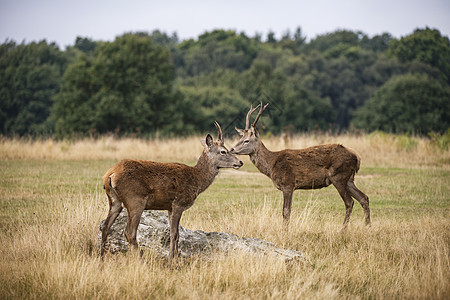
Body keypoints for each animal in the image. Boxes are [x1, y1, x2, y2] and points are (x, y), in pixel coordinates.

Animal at [100, 121, 244, 262]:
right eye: (223, 151)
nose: (240, 162)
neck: (197, 180)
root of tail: (110, 174)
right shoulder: (178, 203)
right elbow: (174, 234)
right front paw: (171, 261)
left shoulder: (169, 207)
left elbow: (176, 234)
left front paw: (174, 258)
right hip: (135, 199)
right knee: (129, 232)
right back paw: (140, 260)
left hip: (115, 200)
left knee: (105, 226)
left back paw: (101, 258)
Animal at [230, 102, 370, 230]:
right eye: (240, 138)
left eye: (246, 140)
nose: (231, 149)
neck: (272, 165)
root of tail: (357, 157)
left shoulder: (288, 183)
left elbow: (286, 211)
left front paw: (285, 231)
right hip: (349, 179)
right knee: (364, 198)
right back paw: (367, 227)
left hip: (338, 176)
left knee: (349, 202)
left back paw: (343, 230)